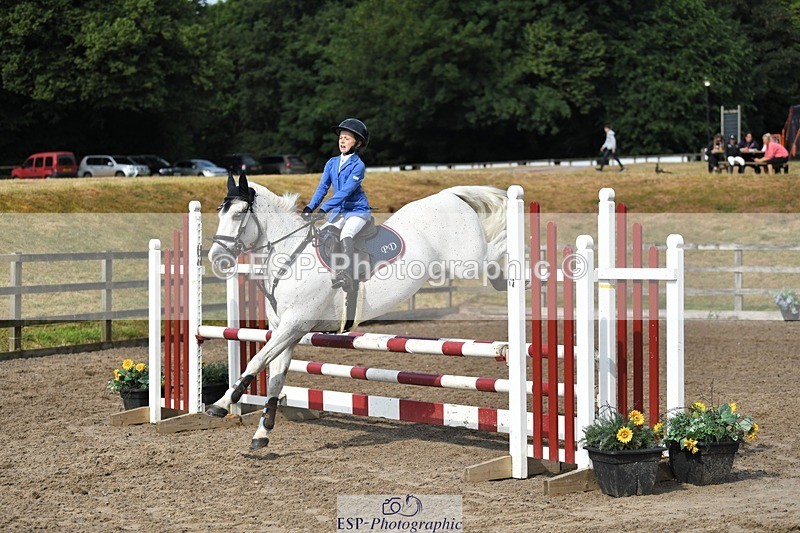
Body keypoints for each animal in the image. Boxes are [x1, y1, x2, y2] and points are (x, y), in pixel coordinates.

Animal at [205, 172, 509, 450]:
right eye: (221, 212)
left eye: (239, 213)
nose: (216, 259)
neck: (291, 255)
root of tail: (448, 195)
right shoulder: (287, 331)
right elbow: (276, 378)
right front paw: (262, 432)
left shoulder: (294, 325)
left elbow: (256, 361)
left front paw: (221, 403)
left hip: (467, 261)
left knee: (495, 250)